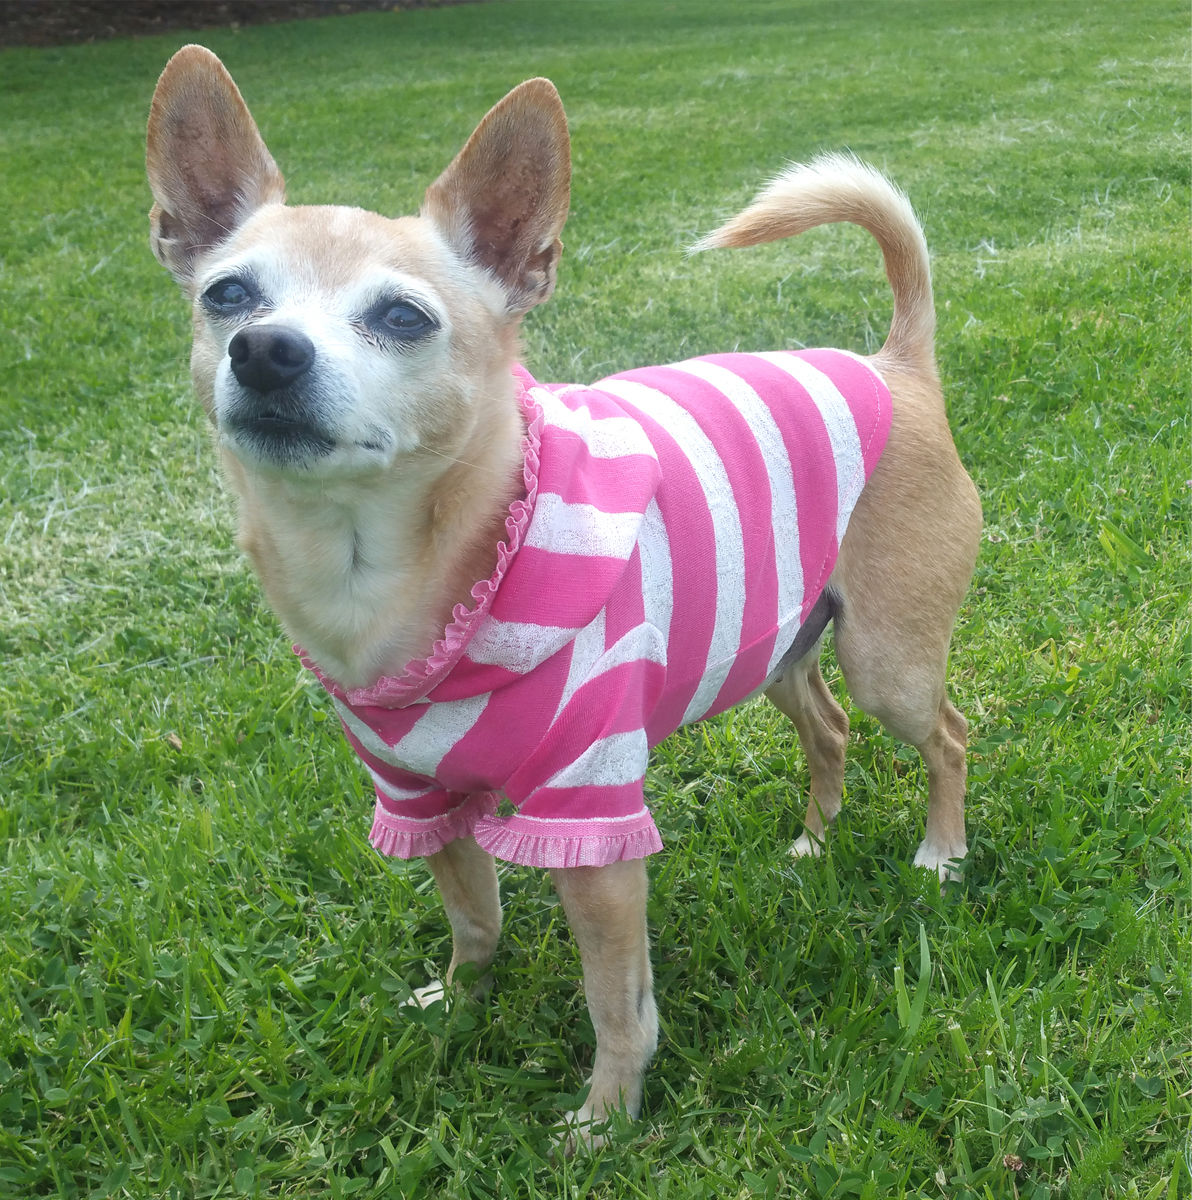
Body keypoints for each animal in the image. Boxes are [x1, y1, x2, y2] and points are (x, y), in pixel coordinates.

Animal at [148, 49, 979, 1142]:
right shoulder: (418, 797)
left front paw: (606, 1117)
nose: (266, 350)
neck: (390, 571)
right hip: (776, 641)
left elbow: (614, 996)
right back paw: (814, 839)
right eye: (227, 296)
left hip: (887, 659)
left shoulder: (592, 826)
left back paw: (940, 855)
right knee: (829, 728)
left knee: (946, 737)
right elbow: (475, 916)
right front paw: (462, 1005)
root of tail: (898, 366)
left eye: (403, 317)